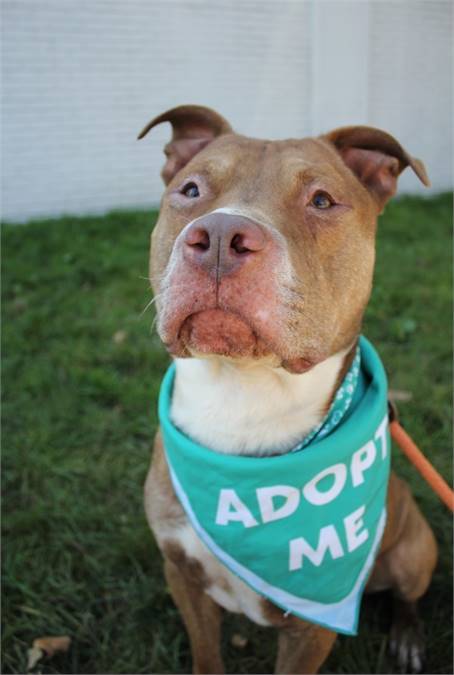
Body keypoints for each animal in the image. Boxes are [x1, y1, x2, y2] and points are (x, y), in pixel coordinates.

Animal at [138, 103, 436, 672]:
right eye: (190, 190)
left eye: (321, 199)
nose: (219, 236)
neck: (241, 399)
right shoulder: (180, 572)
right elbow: (206, 654)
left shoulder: (310, 629)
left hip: (417, 548)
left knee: (409, 595)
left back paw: (410, 635)